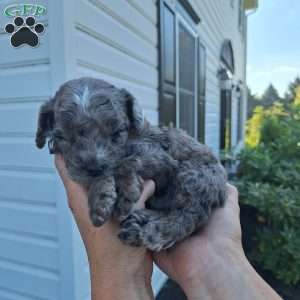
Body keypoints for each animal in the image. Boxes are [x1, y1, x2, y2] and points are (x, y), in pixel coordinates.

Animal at [35, 77, 227, 251]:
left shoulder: (163, 159)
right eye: (62, 137)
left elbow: (126, 162)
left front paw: (125, 194)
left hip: (196, 176)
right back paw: (140, 221)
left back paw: (153, 232)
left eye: (117, 132)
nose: (93, 168)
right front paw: (101, 196)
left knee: (190, 214)